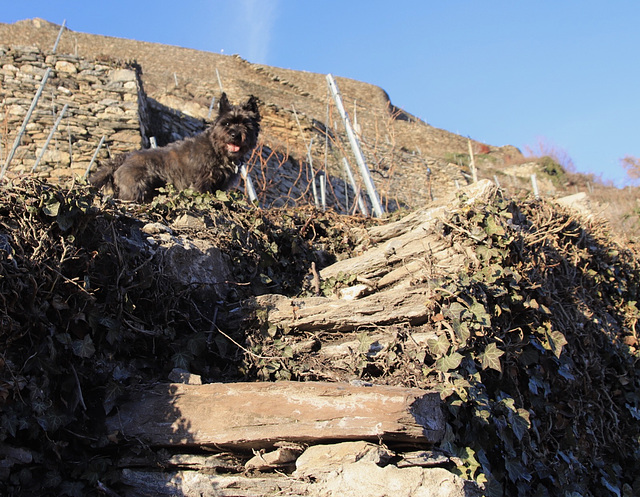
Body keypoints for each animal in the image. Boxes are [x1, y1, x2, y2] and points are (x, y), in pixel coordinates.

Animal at [90, 92, 260, 201]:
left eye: (246, 124)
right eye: (226, 123)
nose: (235, 135)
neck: (217, 150)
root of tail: (125, 157)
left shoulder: (221, 186)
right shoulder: (202, 181)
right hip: (136, 187)